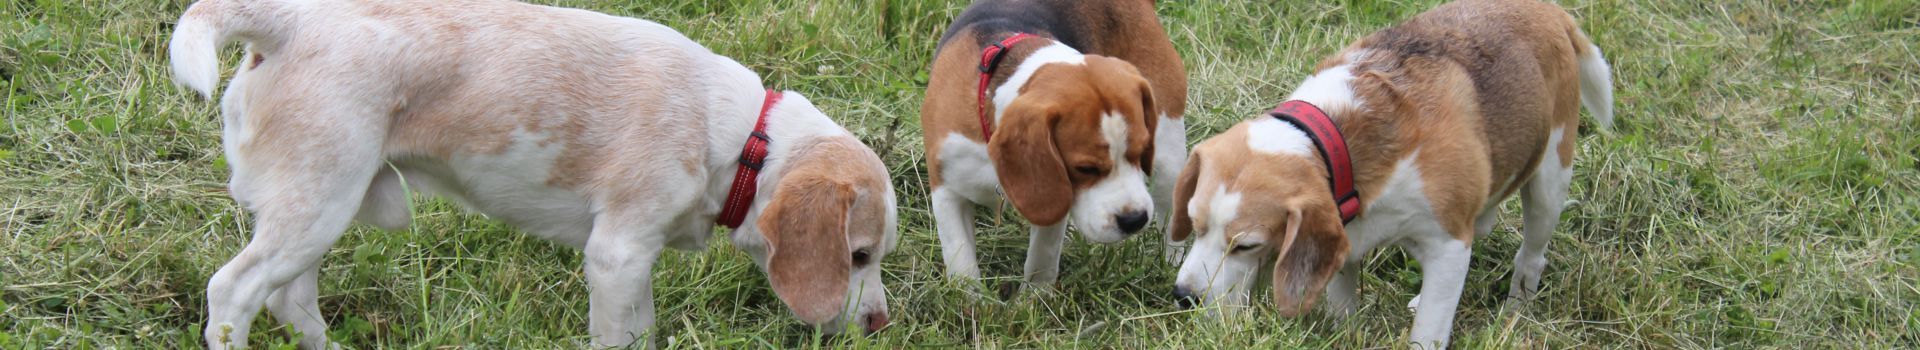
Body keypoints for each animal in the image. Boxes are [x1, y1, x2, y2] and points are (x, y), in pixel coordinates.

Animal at [167, 0, 898, 348]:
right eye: (857, 256)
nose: (879, 326)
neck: (744, 138)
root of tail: (288, 21)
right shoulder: (617, 254)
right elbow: (620, 338)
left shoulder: (634, 265)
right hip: (316, 207)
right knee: (232, 293)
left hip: (315, 212)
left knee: (289, 301)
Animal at [917, 0, 1182, 286]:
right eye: (1085, 169)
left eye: (1142, 152)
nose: (1134, 220)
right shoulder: (946, 191)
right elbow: (961, 260)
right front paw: (970, 295)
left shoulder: (1053, 193)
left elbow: (1041, 257)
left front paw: (1034, 295)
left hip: (1168, 154)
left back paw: (1173, 265)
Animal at [1159, 0, 1612, 348]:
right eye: (1194, 225)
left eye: (1246, 246)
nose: (1183, 297)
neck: (1334, 135)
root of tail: (1550, 10)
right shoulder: (1344, 242)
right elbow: (1343, 307)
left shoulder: (1449, 244)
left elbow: (1428, 329)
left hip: (1549, 184)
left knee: (1531, 256)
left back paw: (1516, 309)